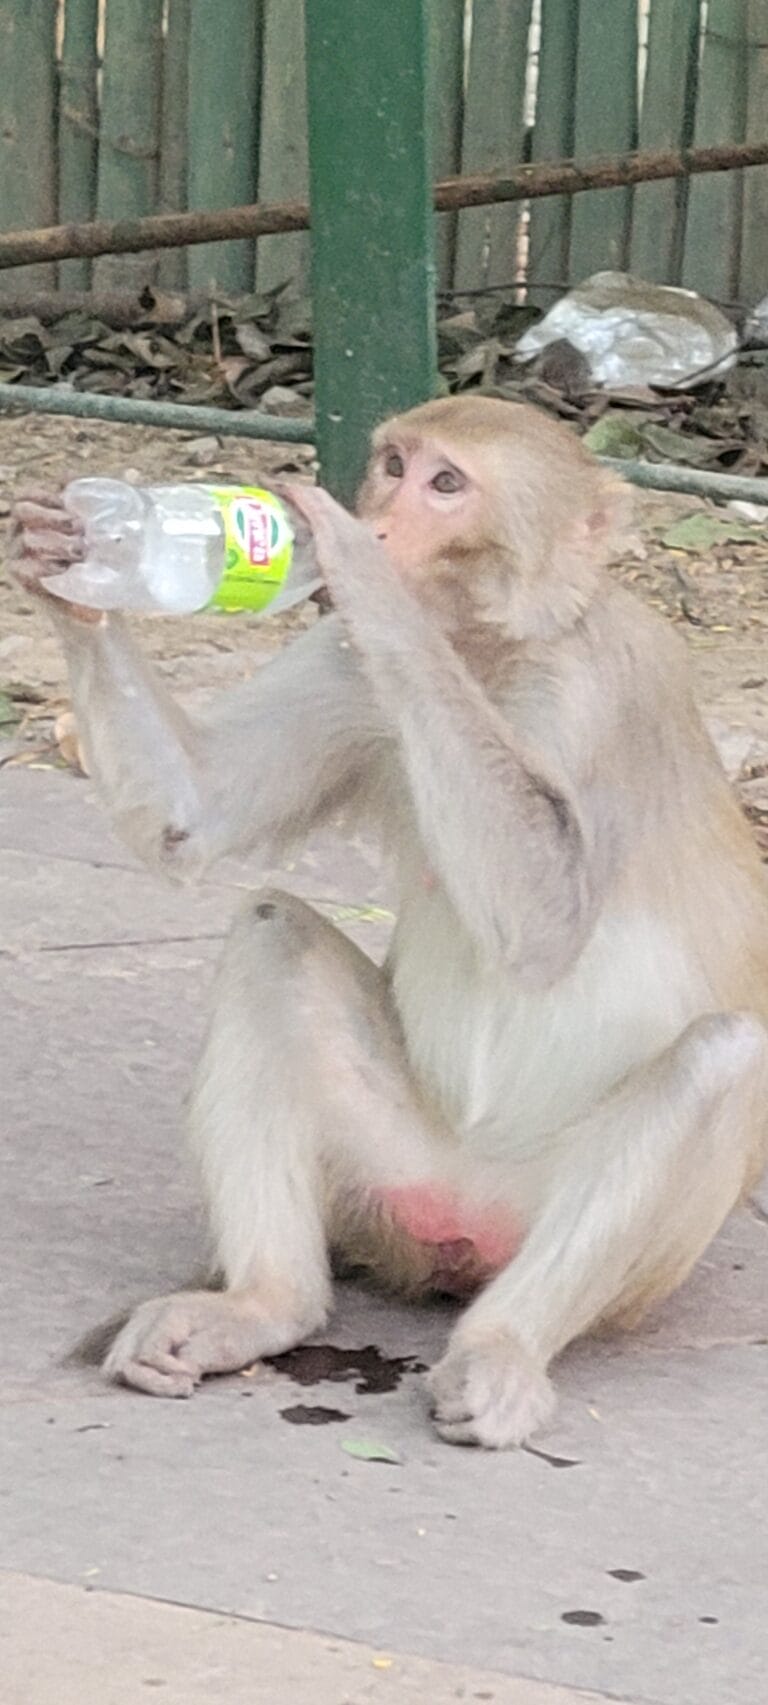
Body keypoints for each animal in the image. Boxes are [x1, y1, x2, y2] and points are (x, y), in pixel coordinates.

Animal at [10, 392, 768, 1445]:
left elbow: (546, 921)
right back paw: (264, 1305)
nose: (378, 516)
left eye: (446, 484)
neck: (485, 651)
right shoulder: (342, 664)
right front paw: (64, 561)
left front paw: (361, 574)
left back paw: (500, 1349)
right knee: (270, 932)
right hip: (388, 1172)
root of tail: (462, 1217)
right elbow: (194, 814)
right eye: (395, 465)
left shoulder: (613, 682)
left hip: (603, 1252)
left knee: (720, 1055)